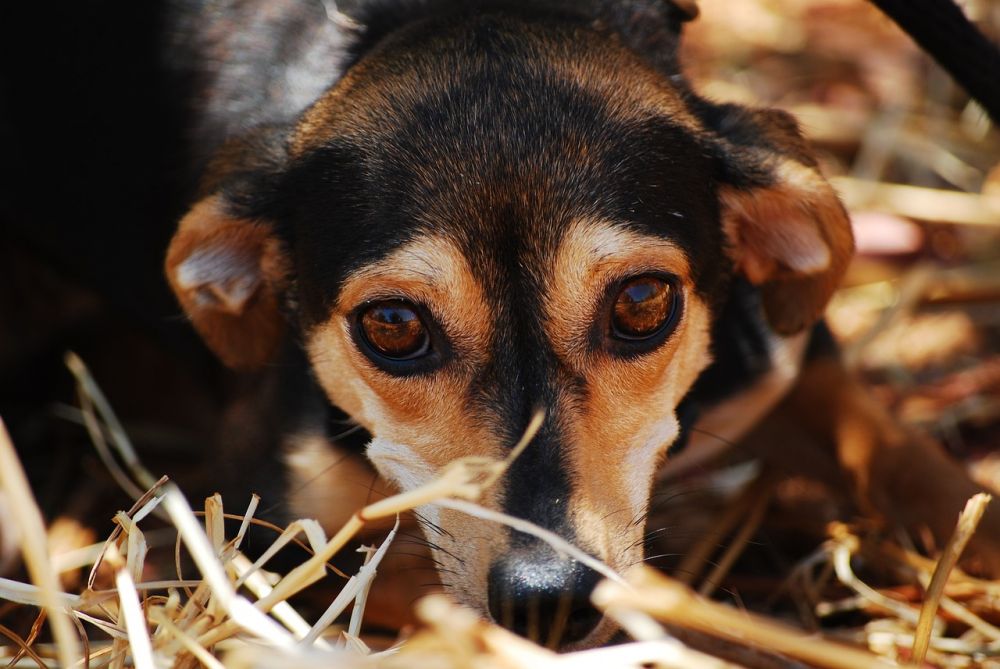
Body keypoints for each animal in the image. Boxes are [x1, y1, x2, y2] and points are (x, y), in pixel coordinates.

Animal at [160, 0, 1000, 648]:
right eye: (392, 324)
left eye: (642, 302)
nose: (548, 598)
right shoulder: (269, 533)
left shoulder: (788, 369)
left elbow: (913, 463)